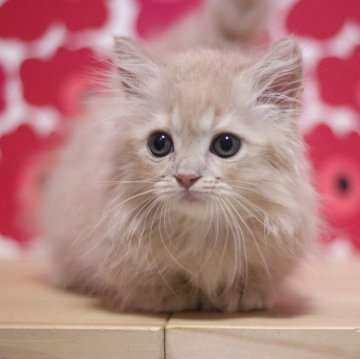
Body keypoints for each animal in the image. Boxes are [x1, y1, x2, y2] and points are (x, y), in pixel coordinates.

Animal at [42, 0, 318, 312]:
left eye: (226, 145)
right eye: (159, 144)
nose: (186, 177)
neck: (201, 233)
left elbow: (252, 280)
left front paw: (238, 297)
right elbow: (155, 285)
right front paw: (178, 298)